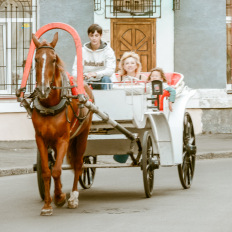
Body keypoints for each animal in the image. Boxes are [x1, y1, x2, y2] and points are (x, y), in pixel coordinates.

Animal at [31, 32, 94, 216]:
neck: (49, 105)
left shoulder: (63, 140)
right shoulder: (41, 139)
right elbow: (47, 171)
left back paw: (73, 197)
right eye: (36, 59)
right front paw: (47, 205)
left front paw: (59, 197)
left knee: (79, 164)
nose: (43, 89)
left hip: (82, 135)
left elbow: (57, 169)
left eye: (53, 59)